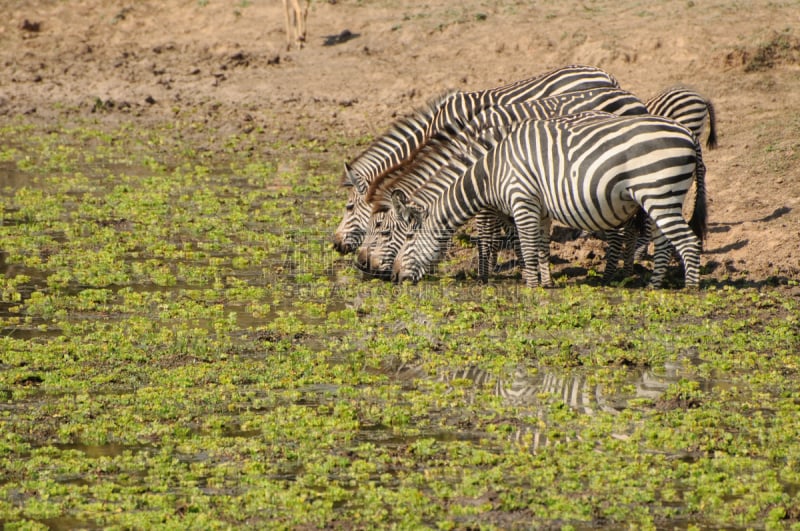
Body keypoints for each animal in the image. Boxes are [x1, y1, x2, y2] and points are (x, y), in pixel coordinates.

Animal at [354, 89, 648, 282]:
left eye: (384, 232)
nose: (362, 265)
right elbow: (513, 229)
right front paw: (521, 266)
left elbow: (487, 230)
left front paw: (486, 273)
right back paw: (627, 268)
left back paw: (616, 272)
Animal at [392, 109, 708, 288]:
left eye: (408, 238)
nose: (395, 278)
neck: (493, 171)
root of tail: (688, 134)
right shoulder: (540, 209)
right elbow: (542, 246)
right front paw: (545, 282)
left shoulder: (522, 200)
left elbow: (527, 245)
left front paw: (531, 284)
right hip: (663, 196)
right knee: (665, 241)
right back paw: (655, 285)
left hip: (658, 192)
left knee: (688, 242)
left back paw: (690, 288)